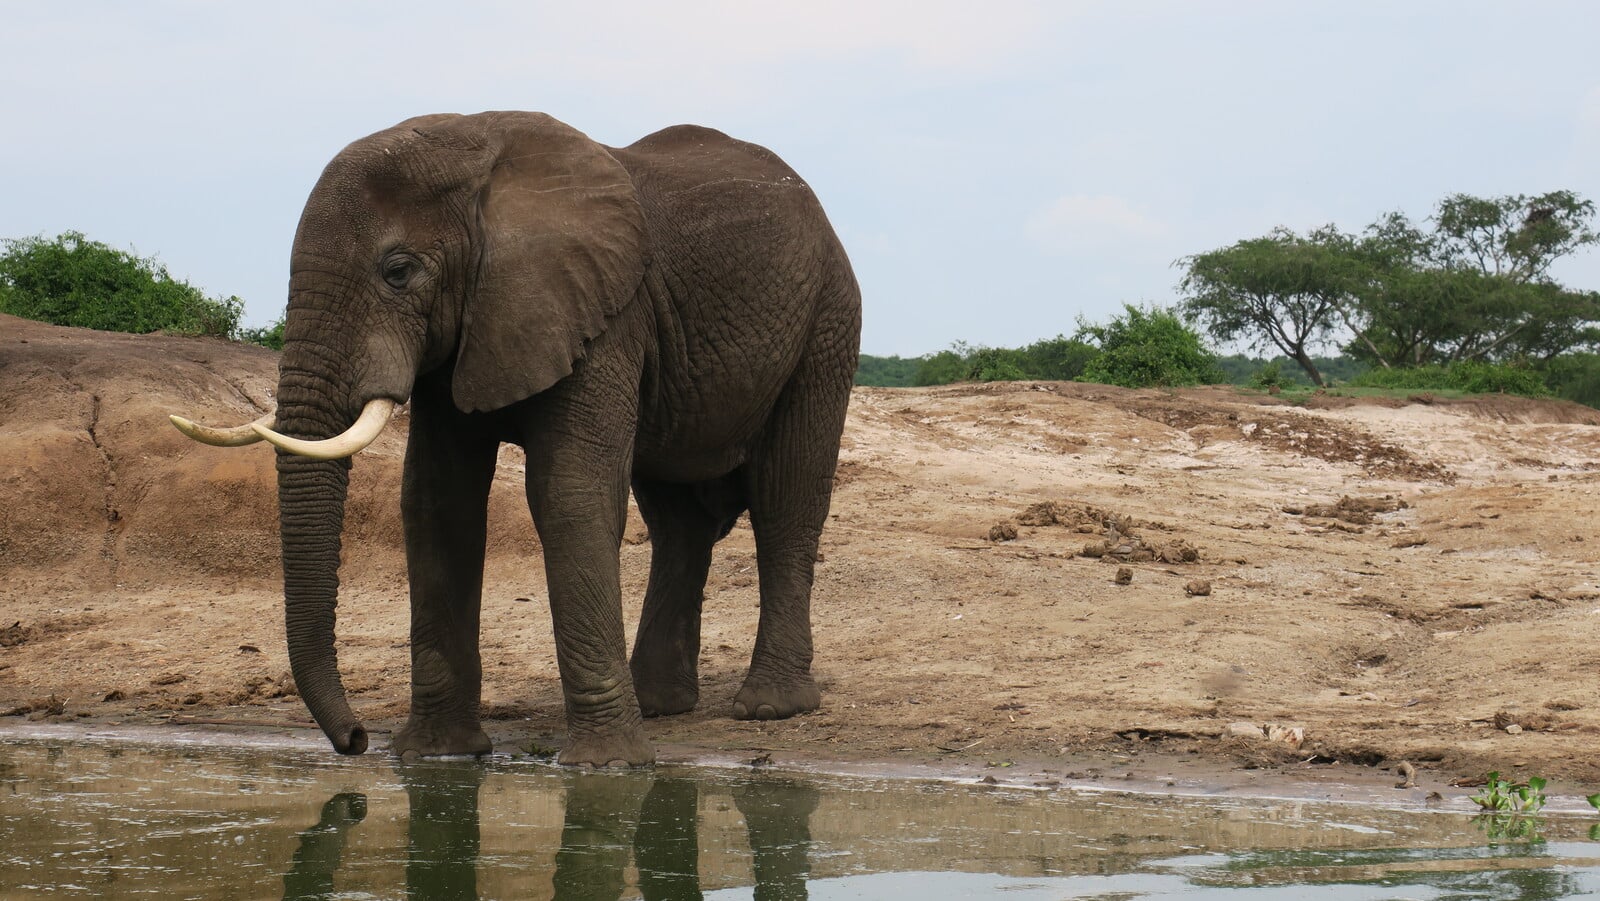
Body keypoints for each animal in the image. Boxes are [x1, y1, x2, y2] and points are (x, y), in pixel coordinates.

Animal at [171, 111, 861, 766]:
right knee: (677, 520)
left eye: (398, 272)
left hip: (828, 323)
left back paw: (769, 708)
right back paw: (658, 704)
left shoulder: (606, 314)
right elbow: (435, 504)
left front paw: (607, 766)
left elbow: (569, 496)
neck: (477, 160)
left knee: (785, 500)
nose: (357, 739)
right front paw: (436, 756)